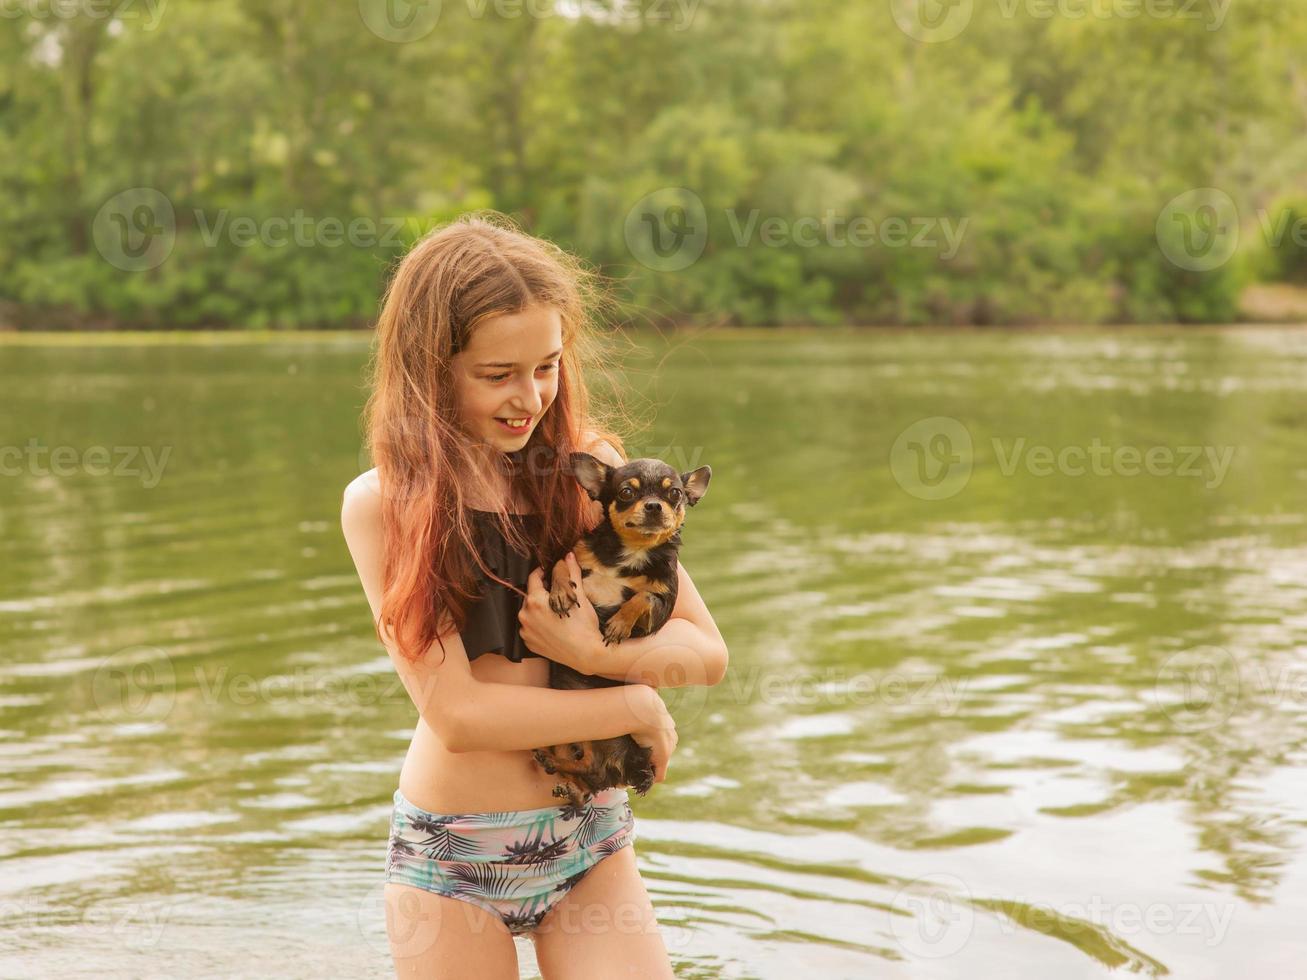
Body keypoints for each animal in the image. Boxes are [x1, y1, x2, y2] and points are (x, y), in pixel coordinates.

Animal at [530, 452, 716, 804]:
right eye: (627, 493)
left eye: (675, 494)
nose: (655, 506)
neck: (629, 555)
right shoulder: (576, 555)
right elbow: (561, 564)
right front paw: (561, 592)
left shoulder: (661, 603)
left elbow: (642, 596)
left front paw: (617, 624)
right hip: (569, 734)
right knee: (585, 768)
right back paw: (559, 772)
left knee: (592, 771)